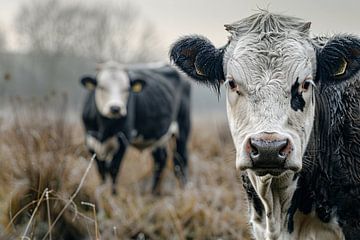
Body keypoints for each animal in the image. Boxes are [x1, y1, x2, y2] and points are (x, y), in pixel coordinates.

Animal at [79, 62, 191, 195]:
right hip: (158, 136)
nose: (115, 108)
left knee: (180, 161)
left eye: (127, 89)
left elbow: (113, 168)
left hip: (182, 129)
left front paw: (113, 195)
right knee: (160, 160)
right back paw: (153, 193)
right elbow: (101, 169)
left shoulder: (123, 139)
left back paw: (183, 191)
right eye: (102, 87)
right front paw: (102, 192)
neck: (104, 128)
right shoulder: (90, 140)